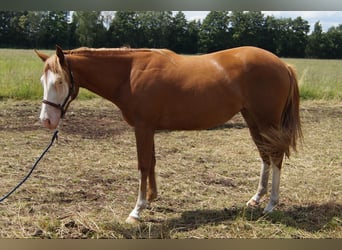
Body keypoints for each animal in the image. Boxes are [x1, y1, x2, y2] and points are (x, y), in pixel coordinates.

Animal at [34, 46, 302, 224]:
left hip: (268, 121)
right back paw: (256, 198)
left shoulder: (143, 127)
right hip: (253, 120)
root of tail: (282, 64)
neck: (130, 73)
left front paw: (137, 210)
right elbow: (151, 162)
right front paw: (152, 198)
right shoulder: (148, 128)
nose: (47, 120)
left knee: (276, 157)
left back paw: (271, 204)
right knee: (265, 156)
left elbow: (143, 164)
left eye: (60, 82)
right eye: (43, 81)